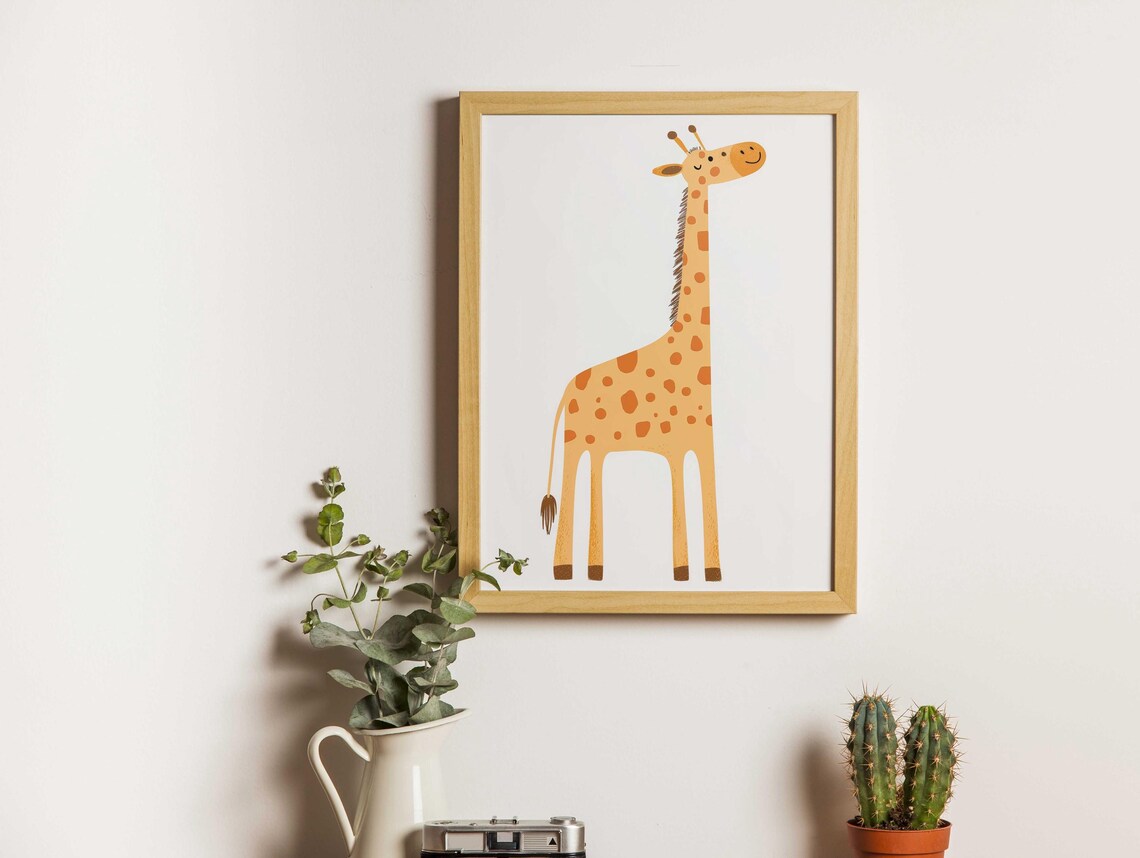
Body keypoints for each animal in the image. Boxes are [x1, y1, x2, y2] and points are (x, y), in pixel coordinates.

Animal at [539, 125, 767, 583]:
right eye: (704, 160)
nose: (751, 150)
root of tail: (567, 391)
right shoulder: (678, 445)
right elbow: (684, 497)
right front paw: (686, 570)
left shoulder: (700, 442)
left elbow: (704, 494)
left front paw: (707, 572)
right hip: (574, 442)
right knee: (571, 481)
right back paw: (564, 569)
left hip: (598, 444)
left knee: (594, 475)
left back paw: (595, 568)